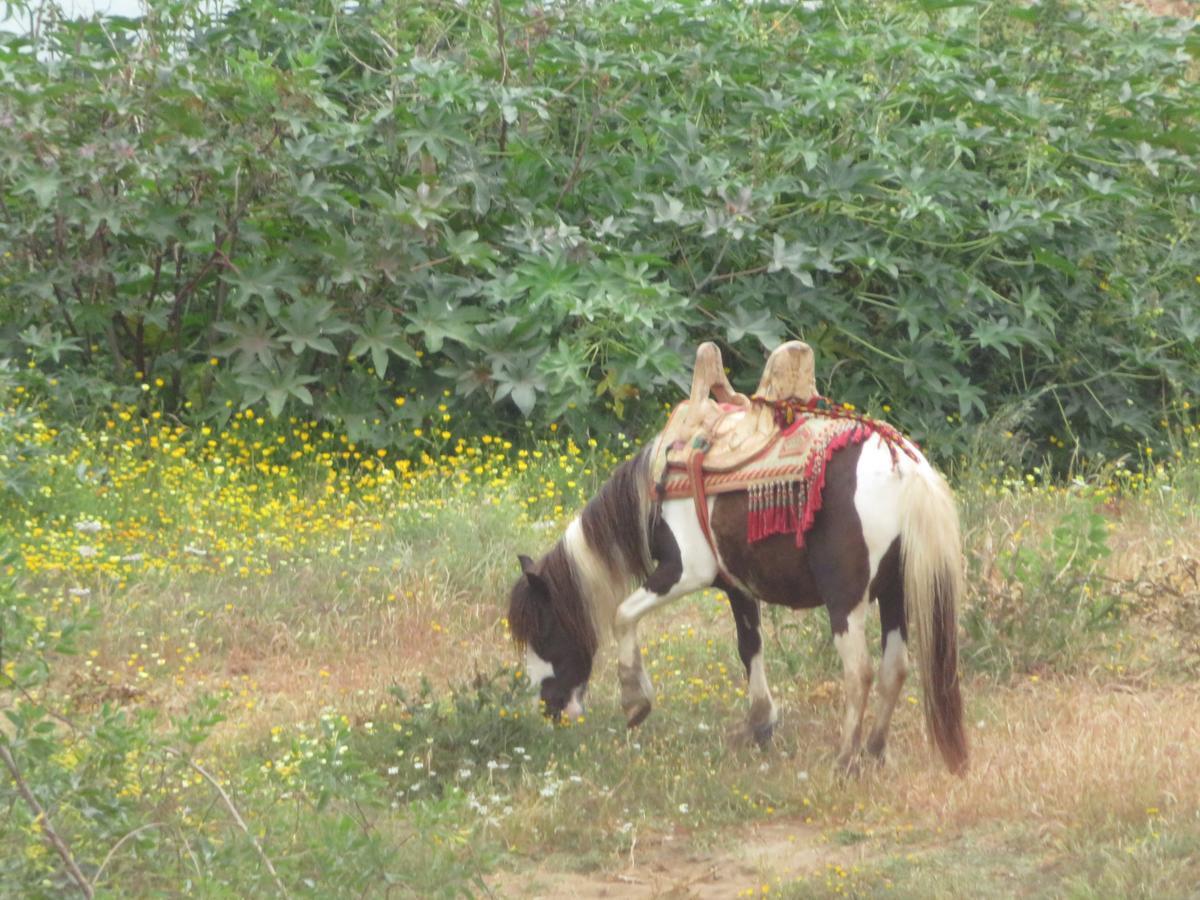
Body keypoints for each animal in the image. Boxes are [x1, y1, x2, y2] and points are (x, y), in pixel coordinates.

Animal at [506, 422, 964, 777]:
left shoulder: (683, 572)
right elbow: (750, 648)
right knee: (895, 668)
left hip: (846, 601)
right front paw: (761, 724)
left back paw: (845, 760)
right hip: (894, 595)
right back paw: (875, 750)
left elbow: (622, 615)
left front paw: (635, 702)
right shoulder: (738, 587)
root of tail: (907, 469)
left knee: (860, 673)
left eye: (543, 631)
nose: (549, 710)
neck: (657, 492)